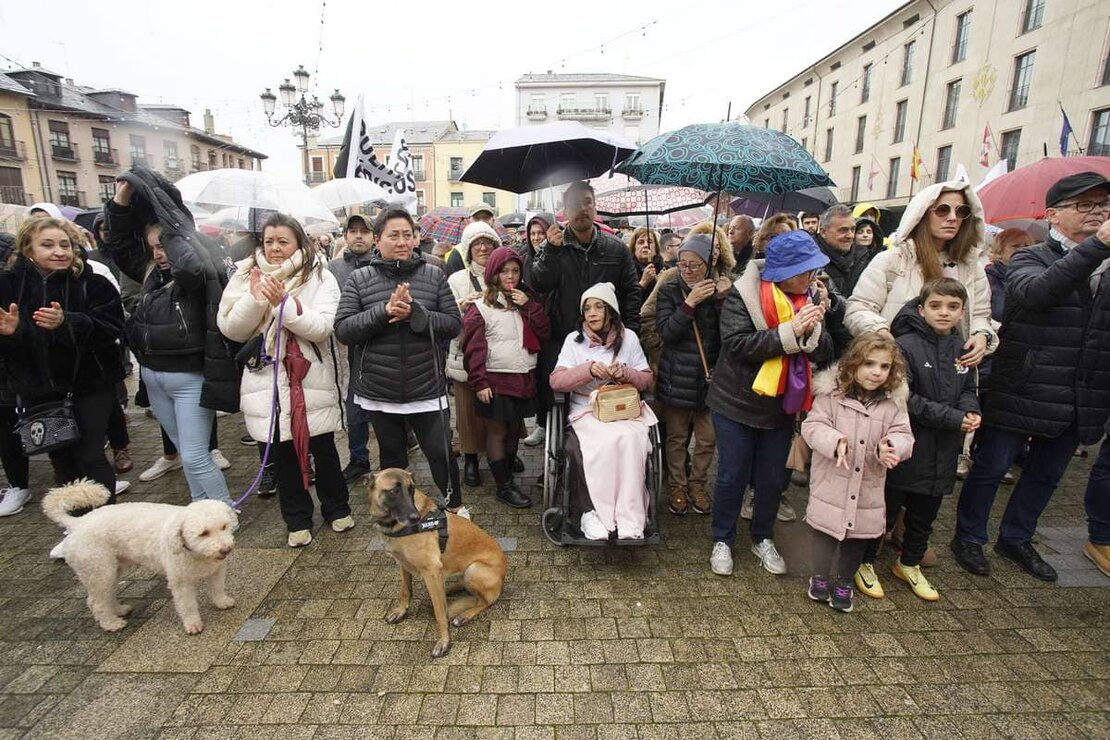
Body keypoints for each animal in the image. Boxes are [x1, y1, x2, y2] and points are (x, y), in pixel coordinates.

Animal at [43, 483, 238, 634]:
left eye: (224, 526)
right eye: (203, 533)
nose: (225, 549)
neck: (195, 553)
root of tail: (77, 523)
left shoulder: (217, 570)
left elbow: (217, 589)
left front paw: (222, 602)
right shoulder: (180, 582)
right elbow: (187, 605)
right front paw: (193, 624)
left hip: (111, 569)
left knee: (107, 595)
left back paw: (119, 610)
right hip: (98, 569)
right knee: (95, 602)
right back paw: (112, 624)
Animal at [368, 472, 508, 656]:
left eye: (411, 489)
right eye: (394, 491)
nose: (415, 517)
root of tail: (502, 581)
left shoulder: (431, 570)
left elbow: (440, 612)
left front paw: (444, 641)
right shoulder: (403, 564)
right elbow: (405, 590)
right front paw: (401, 611)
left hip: (474, 569)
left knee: (485, 602)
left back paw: (464, 615)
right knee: (459, 587)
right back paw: (447, 590)